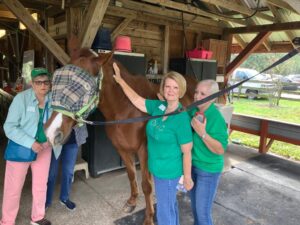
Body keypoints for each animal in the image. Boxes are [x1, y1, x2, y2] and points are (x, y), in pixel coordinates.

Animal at [44, 40, 197, 225]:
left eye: (82, 87)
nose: (51, 132)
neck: (126, 107)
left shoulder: (144, 151)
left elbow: (147, 185)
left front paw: (148, 218)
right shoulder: (122, 149)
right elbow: (131, 175)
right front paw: (131, 202)